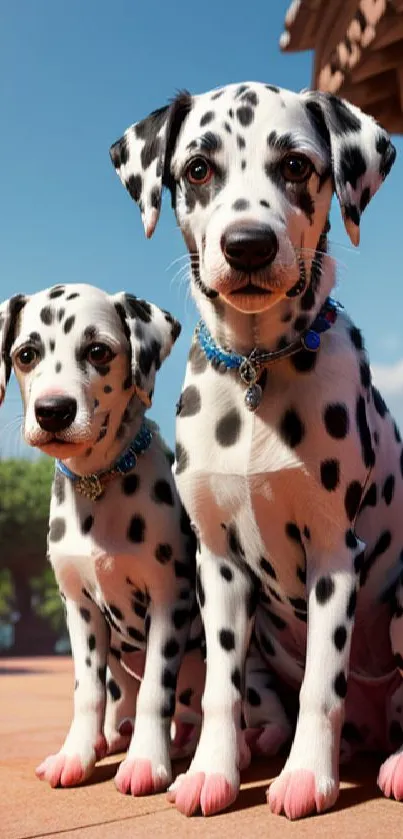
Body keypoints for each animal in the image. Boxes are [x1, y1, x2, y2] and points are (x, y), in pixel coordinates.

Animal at [0, 282, 205, 796]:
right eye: (26, 354)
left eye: (98, 351)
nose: (53, 411)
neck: (99, 485)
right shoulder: (80, 607)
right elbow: (88, 691)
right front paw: (76, 753)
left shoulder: (169, 599)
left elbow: (155, 689)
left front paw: (147, 762)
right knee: (122, 695)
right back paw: (113, 738)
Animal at [109, 77, 403, 820]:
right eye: (197, 168)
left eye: (295, 165)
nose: (247, 245)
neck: (255, 369)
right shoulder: (216, 563)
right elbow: (220, 685)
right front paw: (211, 771)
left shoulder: (335, 555)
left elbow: (322, 684)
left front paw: (306, 776)